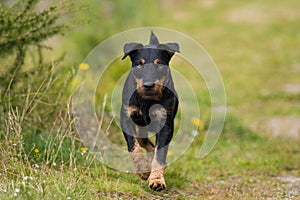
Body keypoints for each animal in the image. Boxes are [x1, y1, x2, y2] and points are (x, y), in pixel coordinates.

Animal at [120, 31, 179, 191]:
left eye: (160, 65)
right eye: (139, 64)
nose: (148, 85)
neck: (147, 101)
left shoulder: (166, 124)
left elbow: (160, 154)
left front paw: (157, 180)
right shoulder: (126, 117)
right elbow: (133, 146)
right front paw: (143, 169)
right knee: (144, 143)